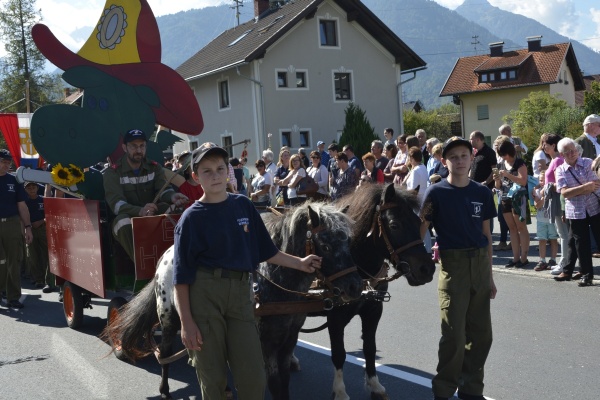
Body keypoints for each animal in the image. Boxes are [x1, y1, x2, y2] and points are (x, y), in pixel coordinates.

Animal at [102, 203, 360, 400]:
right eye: (325, 244)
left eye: (349, 242)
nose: (355, 287)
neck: (274, 282)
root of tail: (167, 253)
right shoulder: (266, 342)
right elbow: (274, 382)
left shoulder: (289, 337)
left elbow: (284, 380)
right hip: (169, 318)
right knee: (165, 352)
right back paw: (164, 390)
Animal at [310, 184, 436, 400]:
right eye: (394, 225)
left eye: (419, 222)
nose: (426, 269)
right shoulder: (335, 318)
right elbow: (339, 354)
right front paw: (340, 391)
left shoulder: (373, 310)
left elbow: (369, 348)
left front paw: (375, 385)